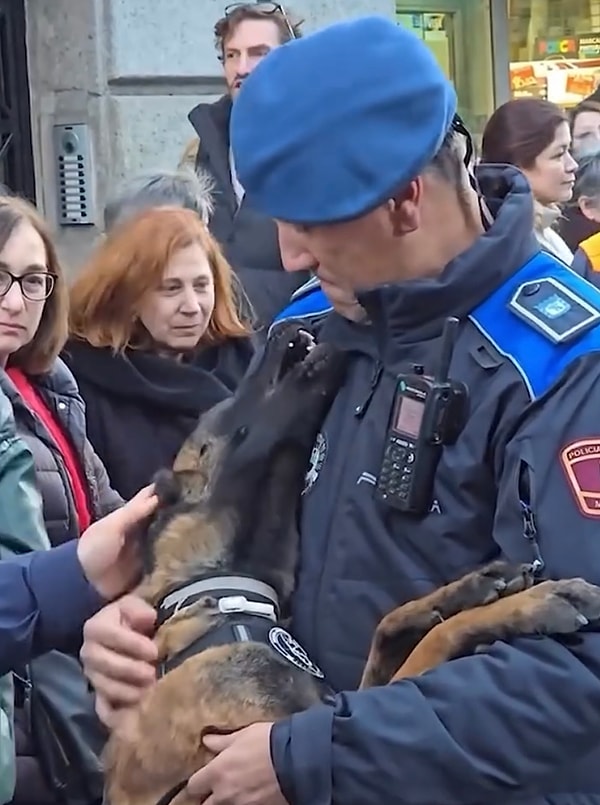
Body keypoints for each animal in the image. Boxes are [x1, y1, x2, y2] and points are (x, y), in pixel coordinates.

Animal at [103, 322, 600, 804]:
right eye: (226, 405)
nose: (284, 329)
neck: (226, 594)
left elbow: (388, 626)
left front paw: (475, 587)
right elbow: (432, 642)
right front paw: (535, 602)